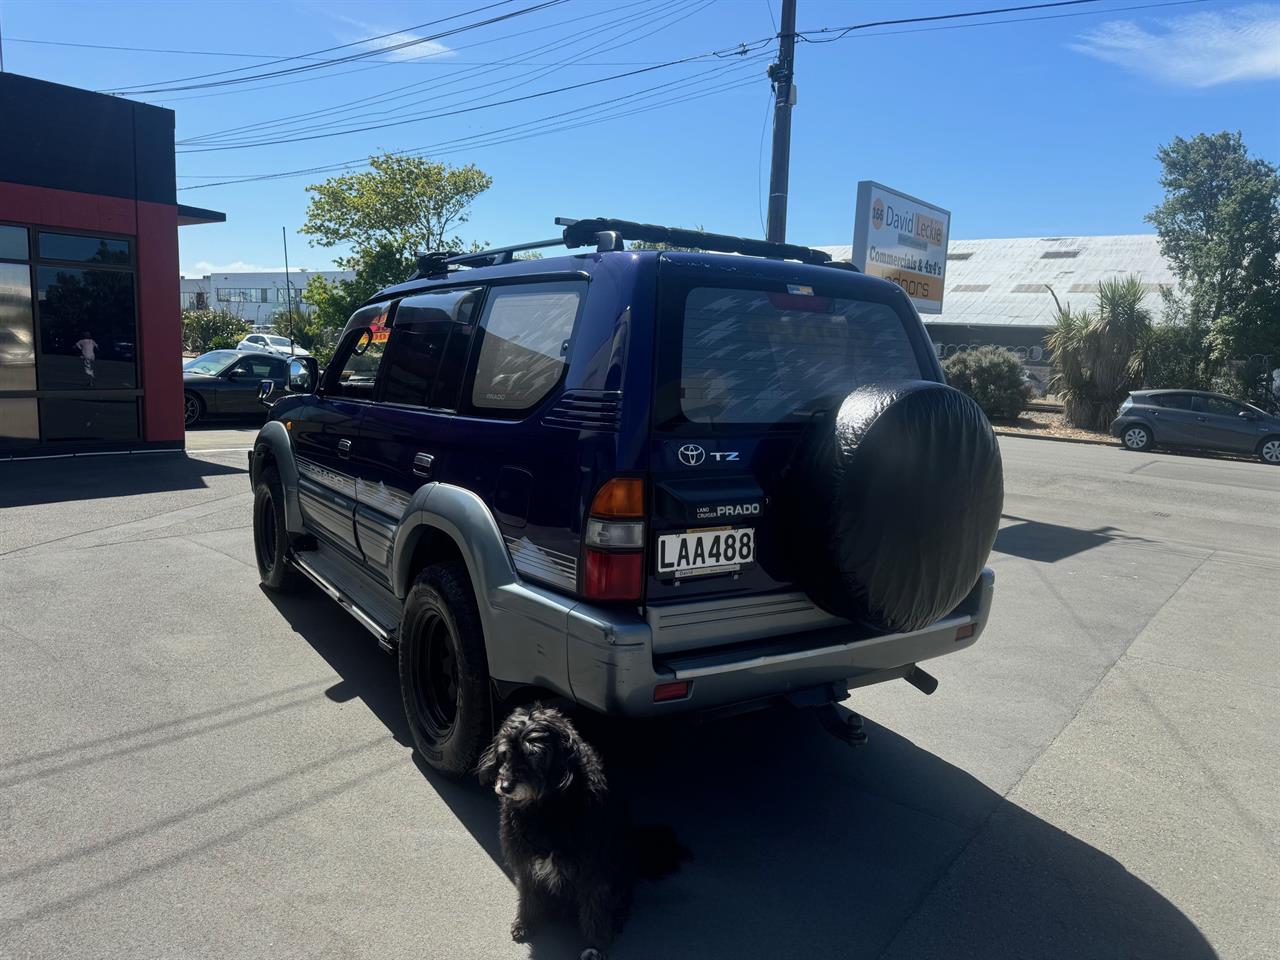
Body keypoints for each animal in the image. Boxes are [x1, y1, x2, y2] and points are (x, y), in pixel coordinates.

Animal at [476, 706, 686, 960]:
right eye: (505, 753)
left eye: (533, 755)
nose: (505, 787)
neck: (546, 807)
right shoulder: (526, 863)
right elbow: (528, 896)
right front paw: (526, 922)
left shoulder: (595, 871)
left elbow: (595, 913)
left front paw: (595, 946)